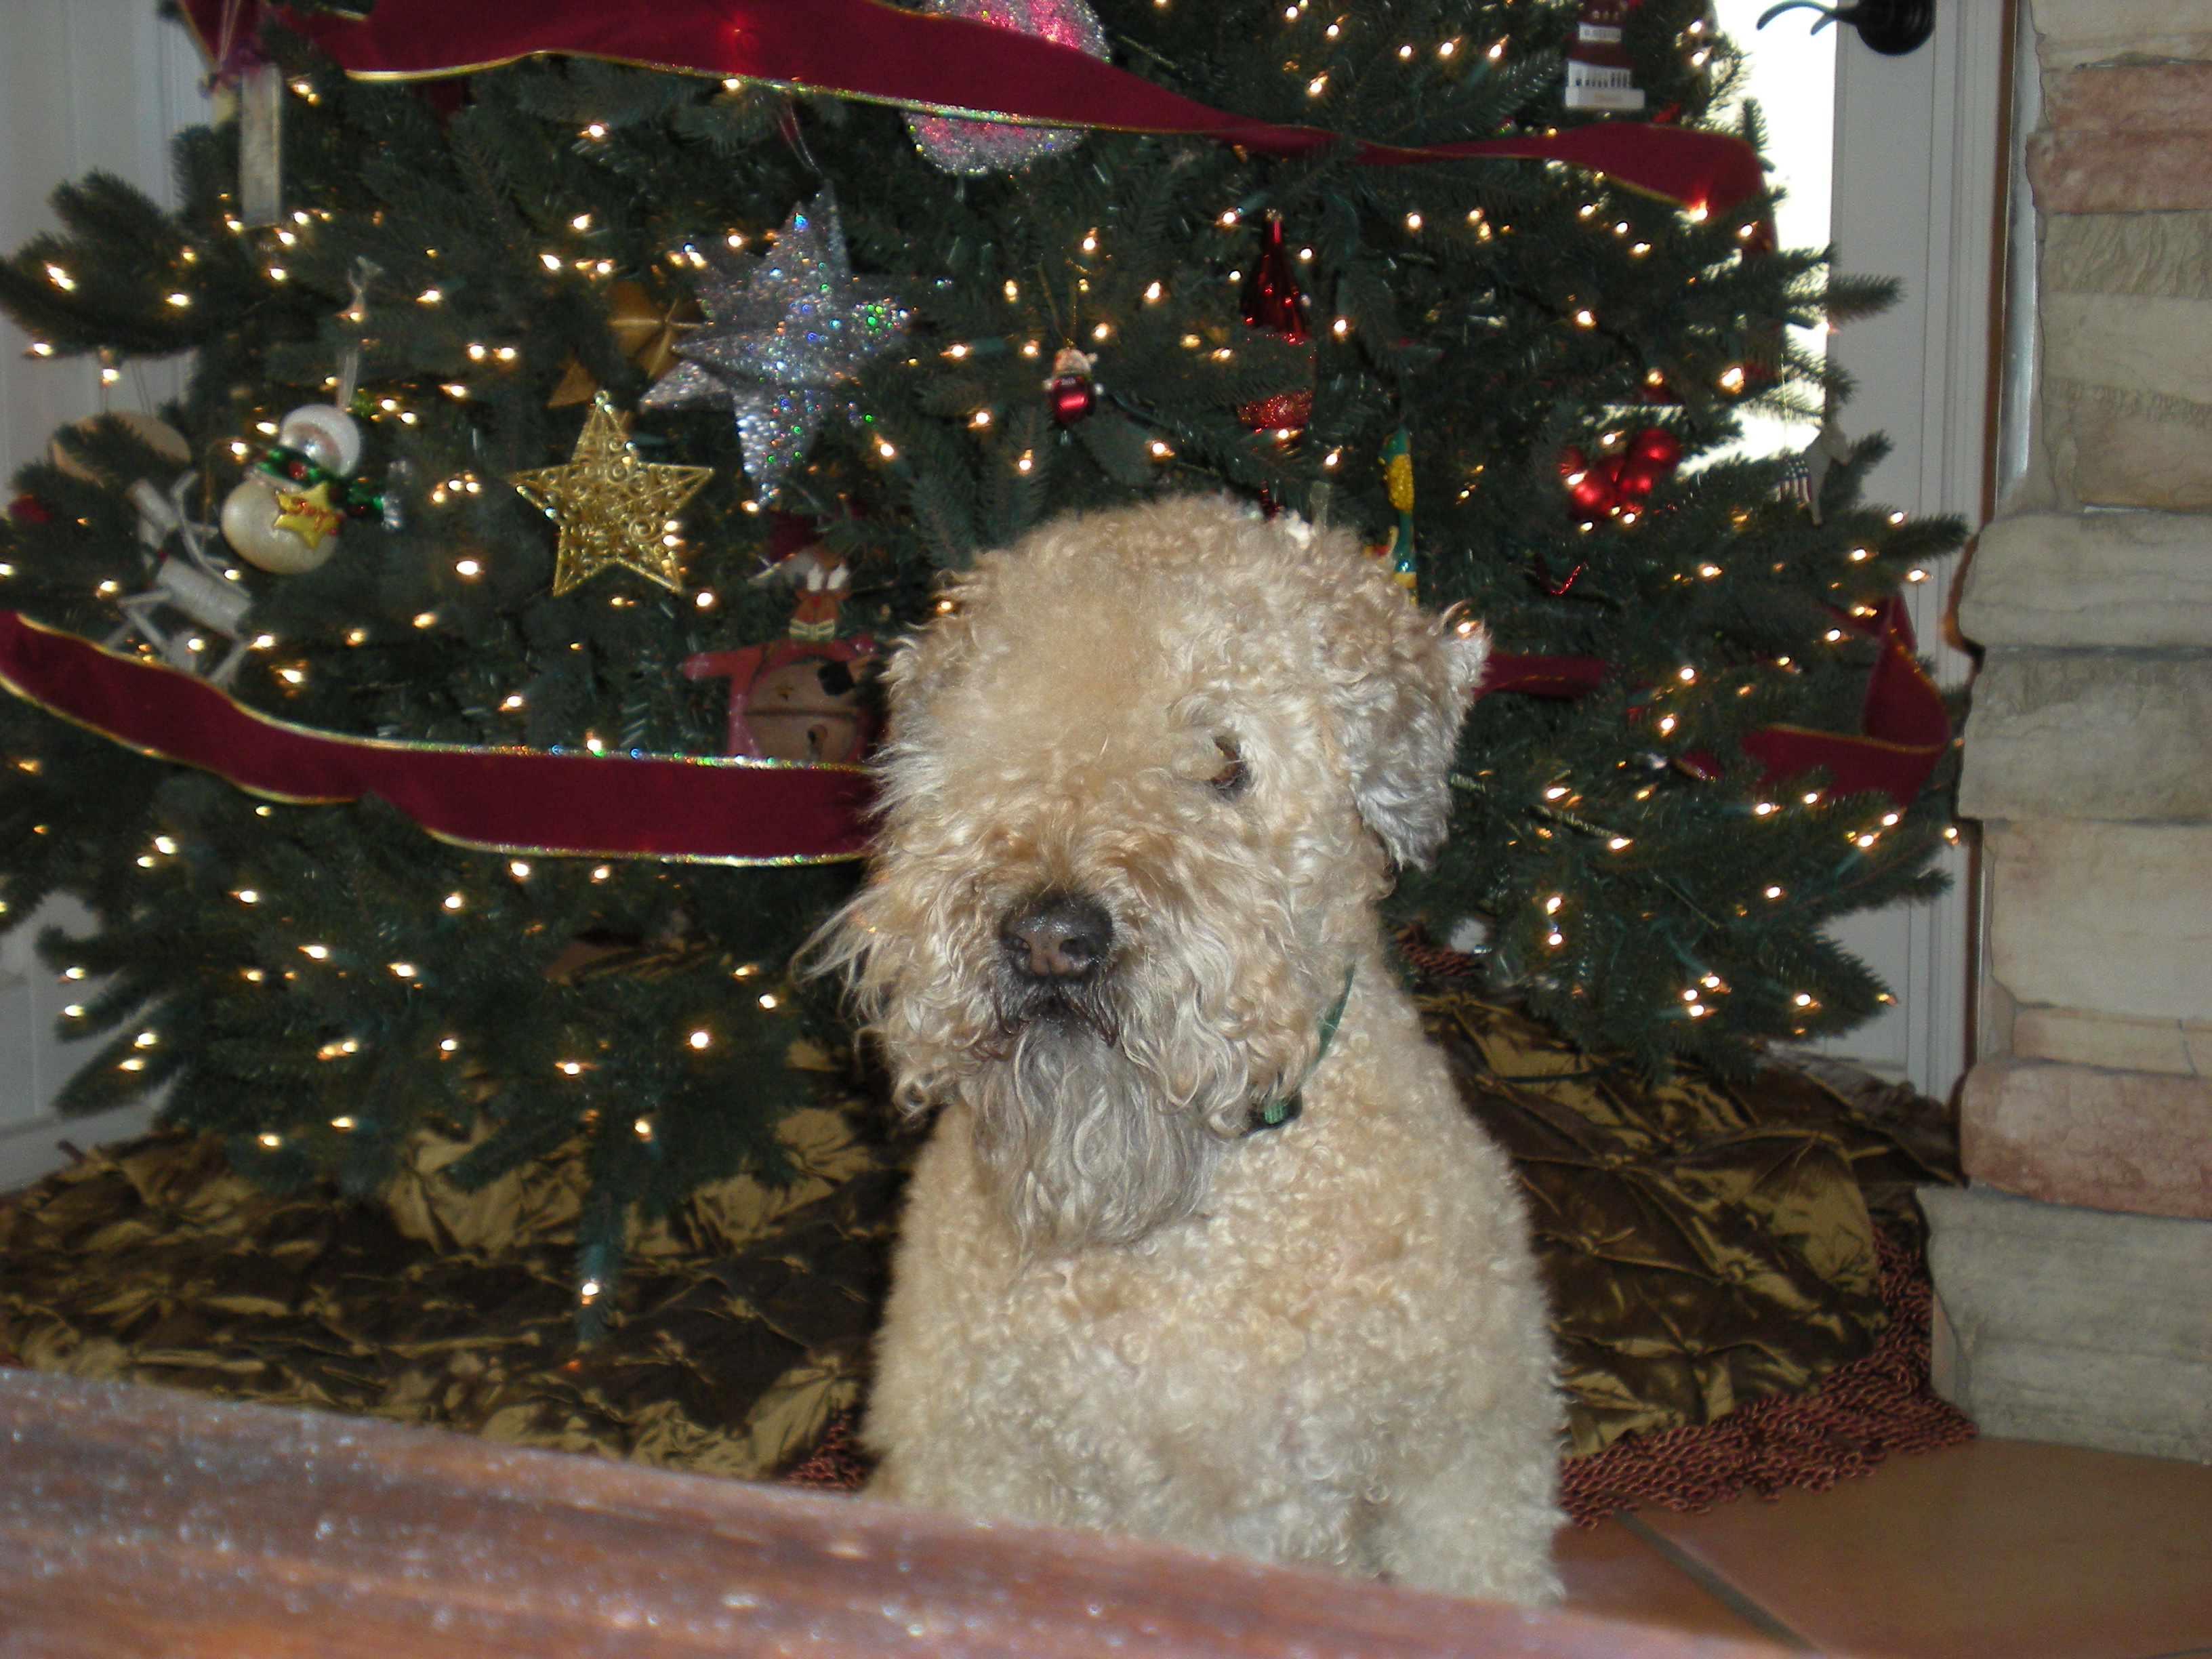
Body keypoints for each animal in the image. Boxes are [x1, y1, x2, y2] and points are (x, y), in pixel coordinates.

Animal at [812, 495, 1562, 1602]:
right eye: (979, 739)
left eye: (1226, 758)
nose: (1050, 940)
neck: (1186, 1239)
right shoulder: (981, 1464)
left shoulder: (1460, 1479)